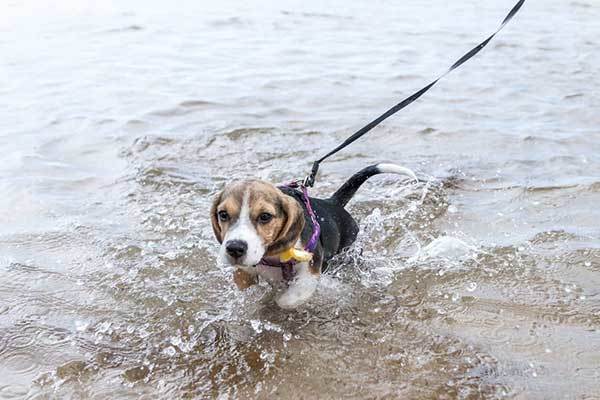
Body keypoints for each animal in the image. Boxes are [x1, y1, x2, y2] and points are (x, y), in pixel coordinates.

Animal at [212, 164, 418, 308]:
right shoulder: (245, 271)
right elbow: (246, 285)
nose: (235, 248)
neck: (271, 255)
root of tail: (332, 202)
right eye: (223, 214)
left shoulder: (310, 266)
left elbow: (291, 298)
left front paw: (279, 299)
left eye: (265, 217)